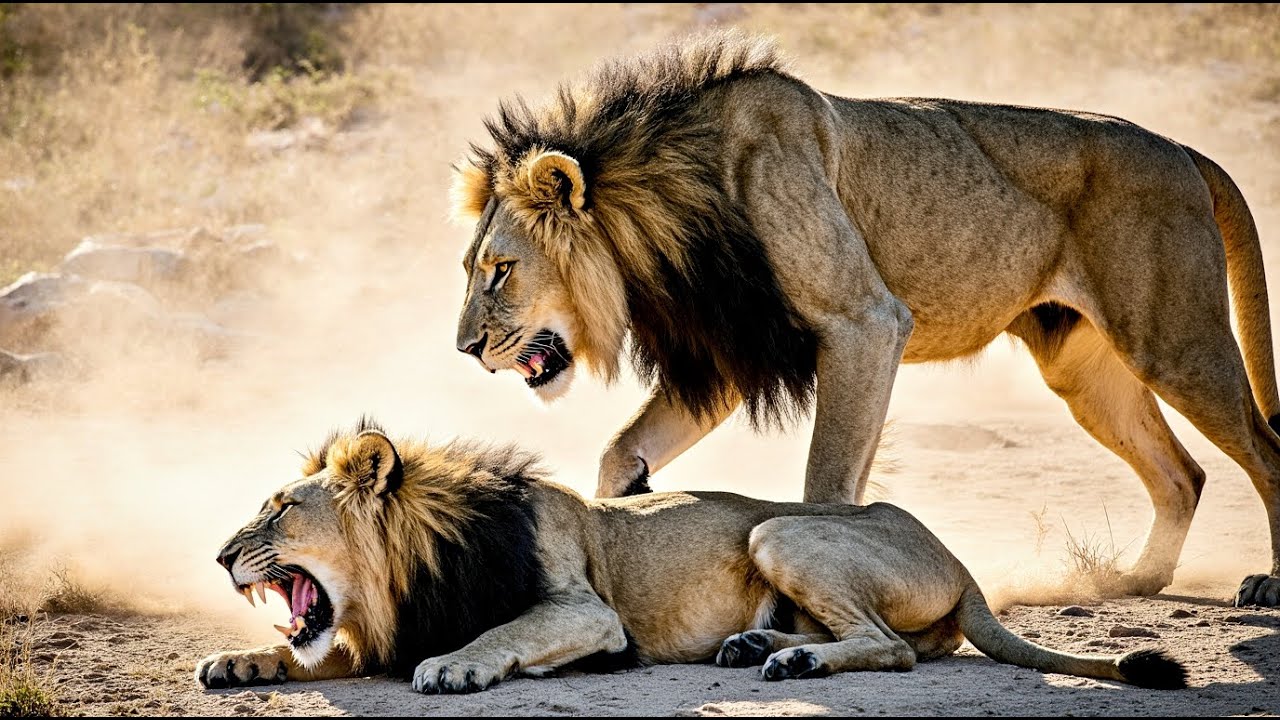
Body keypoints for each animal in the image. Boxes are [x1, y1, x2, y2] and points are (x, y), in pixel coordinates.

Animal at [195, 419, 1186, 693]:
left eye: (277, 510)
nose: (215, 557)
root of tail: (957, 557)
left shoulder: (588, 612)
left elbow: (494, 635)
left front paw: (454, 666)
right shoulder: (374, 630)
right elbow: (306, 651)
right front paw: (237, 661)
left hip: (777, 531)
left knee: (893, 649)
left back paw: (788, 661)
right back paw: (756, 647)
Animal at [450, 31, 1280, 607]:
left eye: (501, 269)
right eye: (471, 268)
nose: (465, 349)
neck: (667, 219)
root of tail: (1182, 148)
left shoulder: (865, 323)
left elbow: (826, 477)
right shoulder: (730, 357)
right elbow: (622, 452)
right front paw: (629, 506)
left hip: (1172, 340)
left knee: (1264, 451)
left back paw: (1265, 581)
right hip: (1082, 371)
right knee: (1183, 474)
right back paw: (1132, 579)